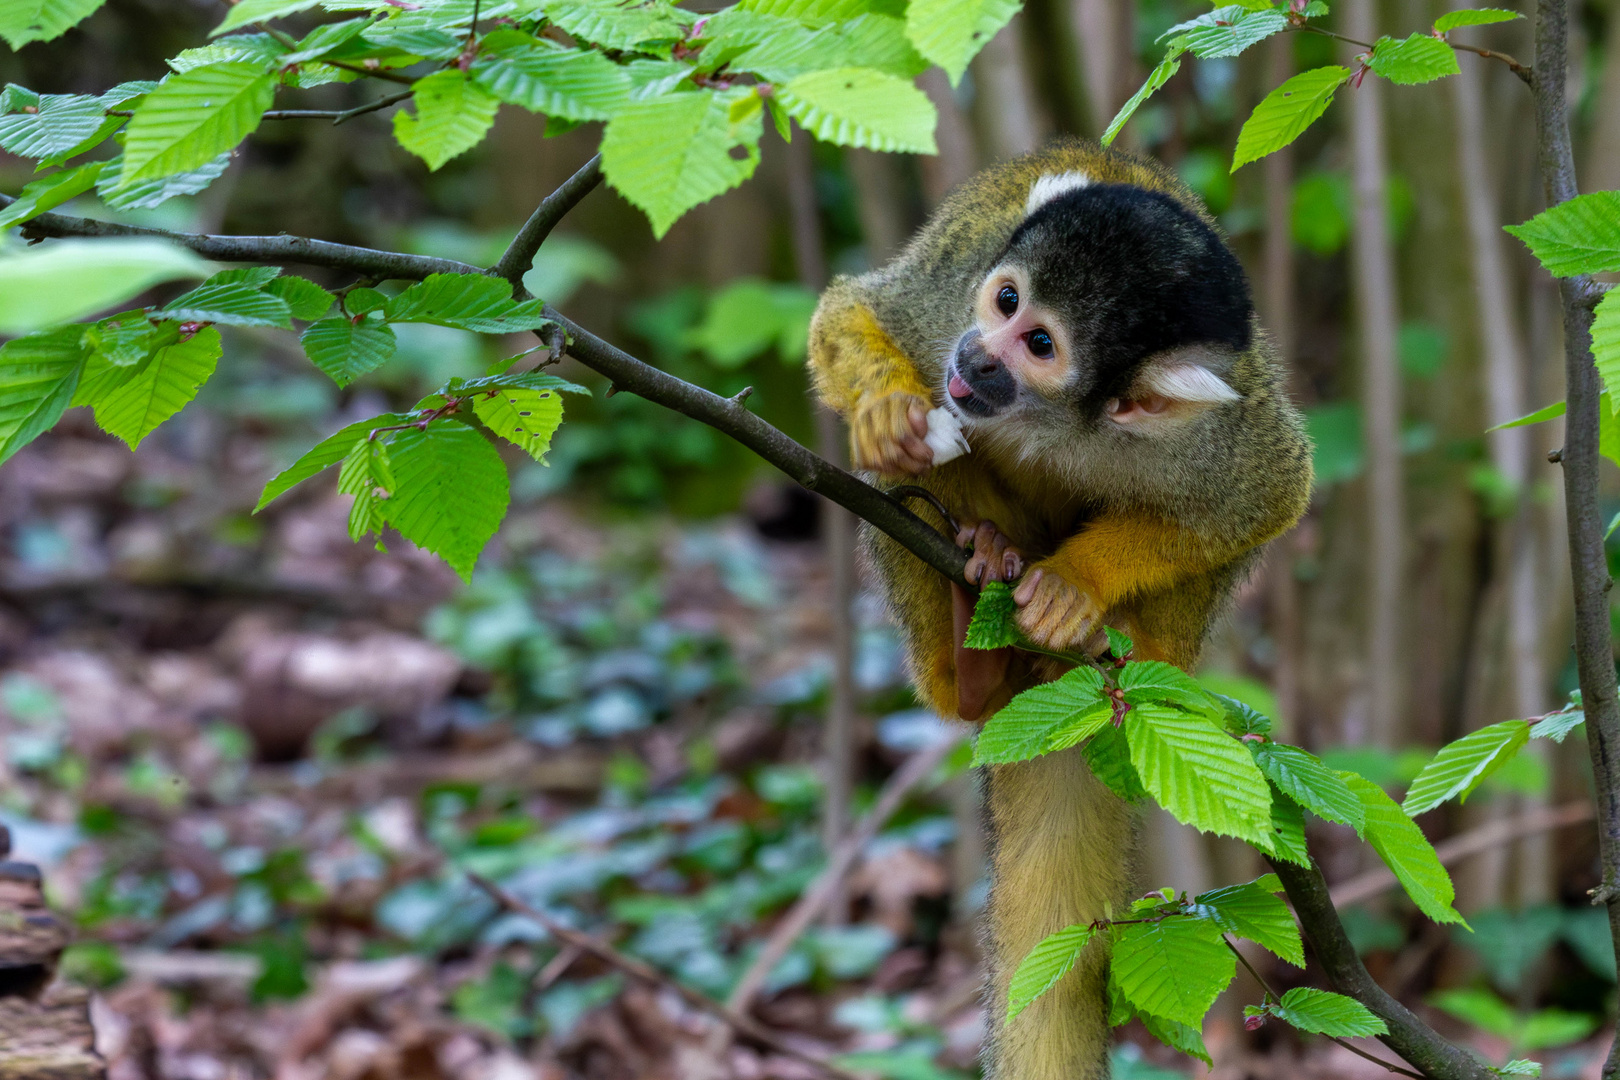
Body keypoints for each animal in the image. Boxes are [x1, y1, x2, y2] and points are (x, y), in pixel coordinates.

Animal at [810, 143, 1315, 1080]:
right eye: (1005, 300)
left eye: (1040, 344)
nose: (977, 356)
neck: (1056, 419)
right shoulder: (948, 292)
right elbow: (854, 309)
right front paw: (886, 411)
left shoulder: (1216, 439)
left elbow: (1266, 498)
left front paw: (1075, 586)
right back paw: (969, 652)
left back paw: (1113, 648)